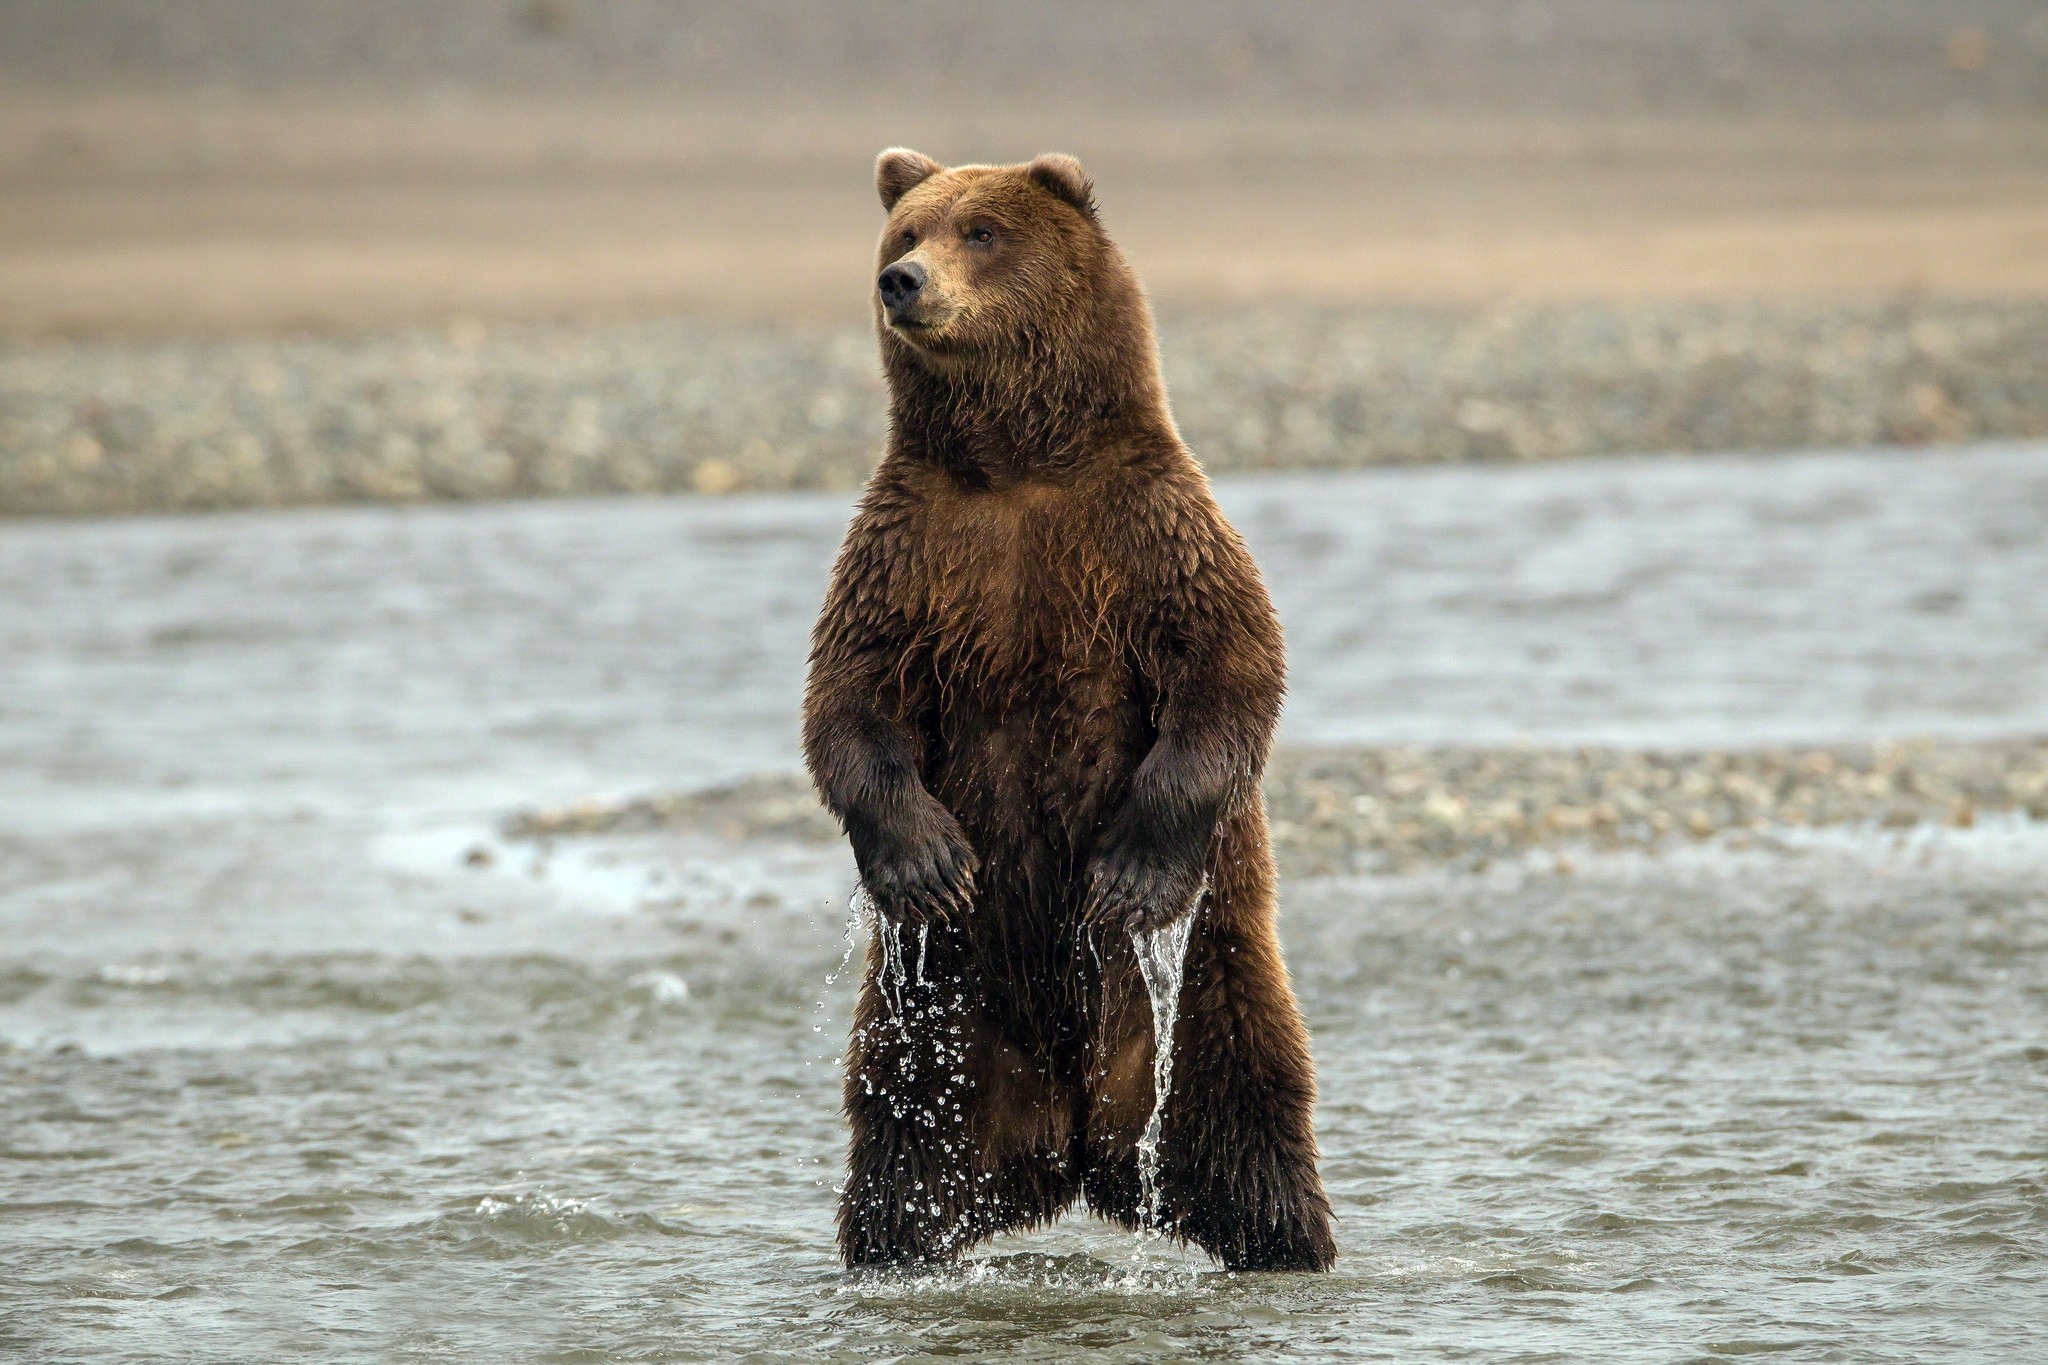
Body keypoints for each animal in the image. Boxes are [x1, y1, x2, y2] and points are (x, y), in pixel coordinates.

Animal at [790, 147, 1335, 1268]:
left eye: (981, 231)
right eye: (905, 230)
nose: (901, 281)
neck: (1015, 465)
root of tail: (1076, 1145)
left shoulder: (1148, 534)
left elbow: (1230, 671)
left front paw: (1128, 874)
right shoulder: (909, 555)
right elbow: (850, 702)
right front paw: (927, 862)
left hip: (1211, 982)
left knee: (1247, 1120)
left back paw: (1286, 1242)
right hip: (935, 1018)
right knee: (902, 1150)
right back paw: (893, 1249)